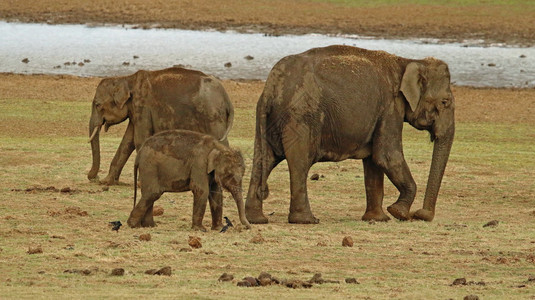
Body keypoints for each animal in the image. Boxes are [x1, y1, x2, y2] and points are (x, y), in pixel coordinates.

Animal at [88, 67, 234, 186]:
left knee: (221, 142)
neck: (127, 79)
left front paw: (141, 183)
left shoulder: (143, 106)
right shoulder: (135, 110)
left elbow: (139, 139)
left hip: (213, 115)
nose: (93, 177)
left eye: (97, 105)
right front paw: (106, 181)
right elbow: (128, 142)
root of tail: (226, 98)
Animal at [245, 45, 454, 224]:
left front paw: (378, 219)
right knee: (300, 162)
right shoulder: (390, 106)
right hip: (301, 117)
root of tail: (270, 88)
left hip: (267, 119)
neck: (408, 61)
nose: (421, 214)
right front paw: (398, 213)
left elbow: (374, 161)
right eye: (445, 102)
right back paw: (307, 220)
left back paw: (257, 219)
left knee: (264, 159)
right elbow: (386, 156)